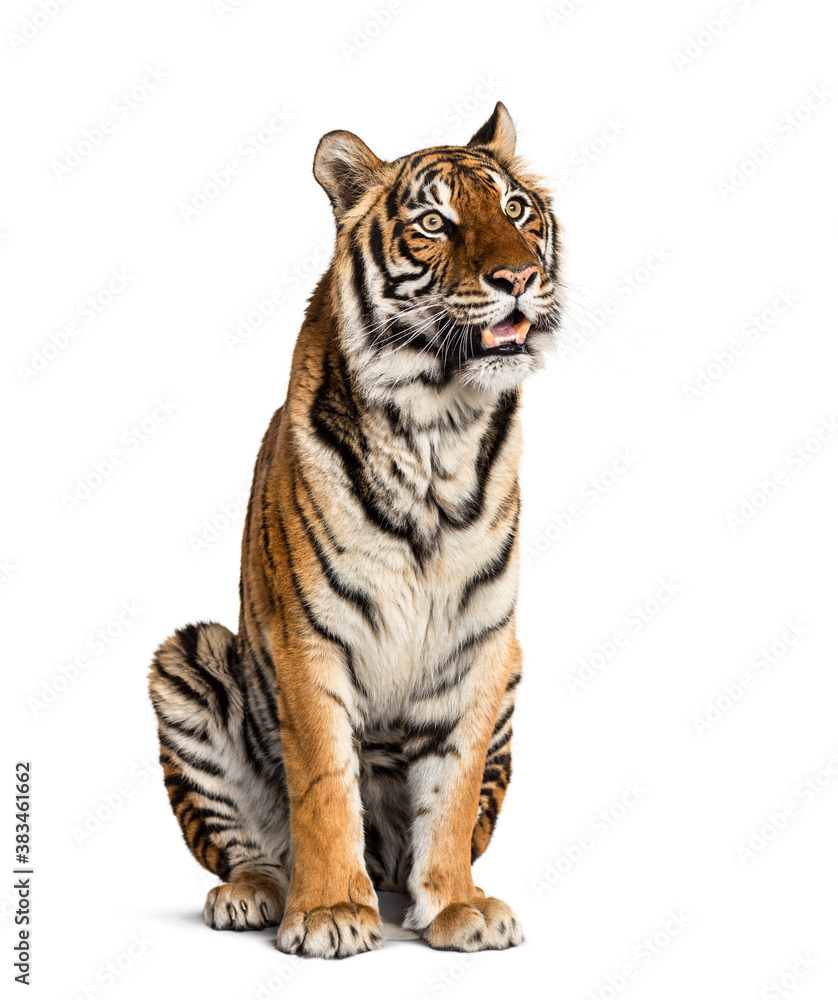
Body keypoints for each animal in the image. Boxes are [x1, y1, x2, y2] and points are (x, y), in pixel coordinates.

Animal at [148, 101, 563, 958]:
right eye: (435, 223)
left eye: (515, 211)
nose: (517, 279)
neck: (440, 426)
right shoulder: (310, 639)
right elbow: (324, 785)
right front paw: (332, 912)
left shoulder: (481, 645)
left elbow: (452, 789)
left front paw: (457, 906)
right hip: (188, 658)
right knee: (245, 846)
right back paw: (254, 895)